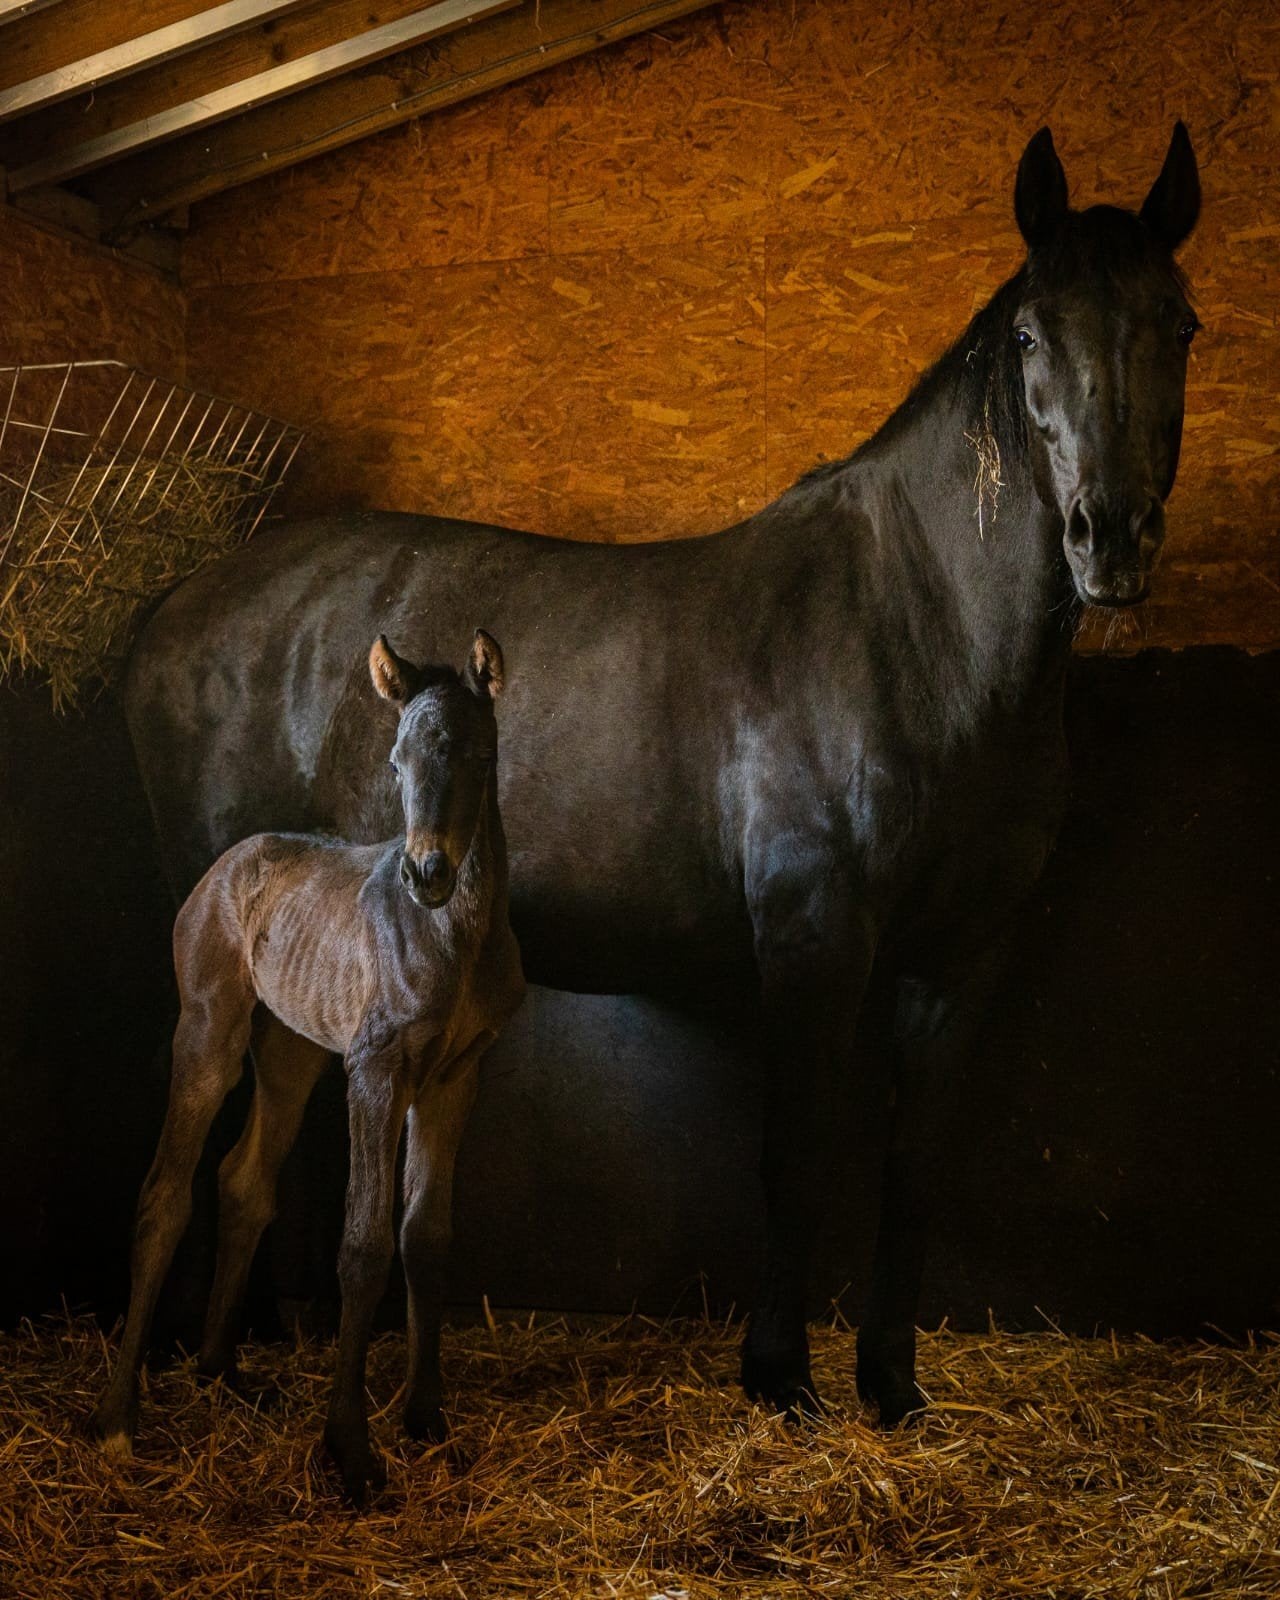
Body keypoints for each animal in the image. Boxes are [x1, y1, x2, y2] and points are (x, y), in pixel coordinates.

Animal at [93, 632, 526, 1506]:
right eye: (396, 761)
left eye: (478, 752)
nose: (426, 874)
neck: (454, 941)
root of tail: (231, 862)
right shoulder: (375, 1070)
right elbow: (362, 1245)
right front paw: (350, 1451)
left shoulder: (454, 1078)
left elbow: (425, 1233)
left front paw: (426, 1418)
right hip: (210, 1032)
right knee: (164, 1195)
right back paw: (120, 1419)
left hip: (290, 1050)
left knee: (243, 1178)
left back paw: (220, 1370)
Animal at [123, 125, 1201, 1429]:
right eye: (1033, 333)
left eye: (1179, 321)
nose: (1111, 537)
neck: (914, 632)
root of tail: (176, 604)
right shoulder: (812, 941)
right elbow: (795, 1157)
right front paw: (779, 1375)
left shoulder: (959, 957)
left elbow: (909, 1165)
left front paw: (889, 1385)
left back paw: (268, 1339)